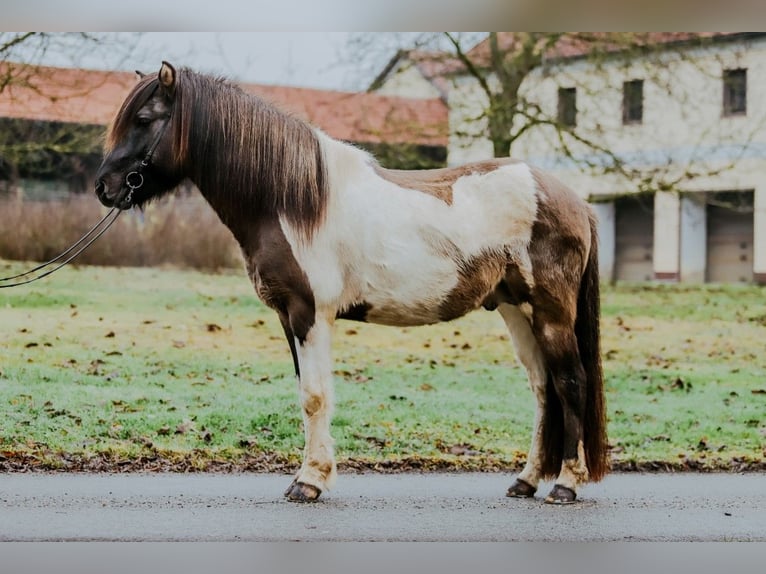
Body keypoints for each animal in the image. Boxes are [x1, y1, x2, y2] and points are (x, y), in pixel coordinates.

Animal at [94, 61, 608, 504]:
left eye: (144, 118)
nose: (105, 187)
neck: (290, 200)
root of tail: (575, 200)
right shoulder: (288, 318)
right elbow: (307, 394)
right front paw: (311, 475)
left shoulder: (309, 314)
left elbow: (315, 397)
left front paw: (309, 482)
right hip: (516, 311)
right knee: (544, 389)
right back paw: (526, 481)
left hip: (551, 313)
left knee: (570, 383)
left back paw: (565, 484)